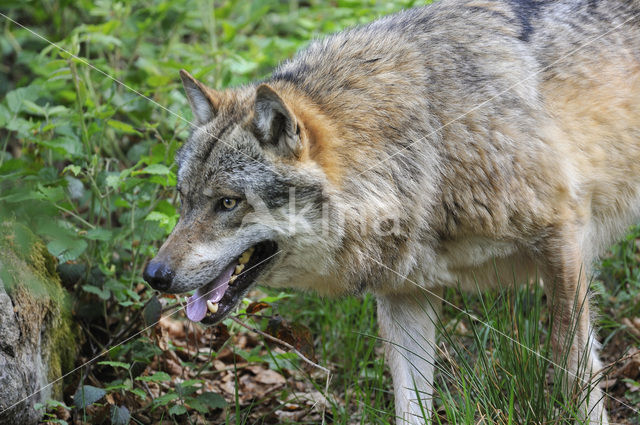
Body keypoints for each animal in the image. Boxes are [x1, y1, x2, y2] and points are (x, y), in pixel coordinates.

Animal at [144, 1, 640, 422]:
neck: (432, 145)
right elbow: (410, 403)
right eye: (184, 199)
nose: (153, 275)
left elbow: (575, 370)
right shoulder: (405, 294)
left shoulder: (563, 241)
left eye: (228, 202)